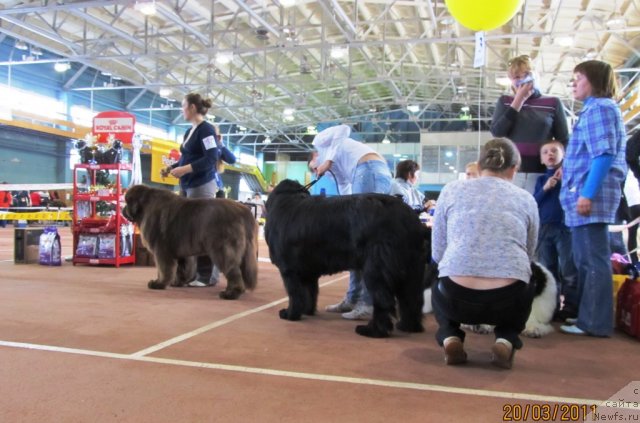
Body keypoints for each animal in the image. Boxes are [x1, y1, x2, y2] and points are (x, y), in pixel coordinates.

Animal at [264, 179, 430, 338]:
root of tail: (413, 221)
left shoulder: (289, 270)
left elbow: (295, 294)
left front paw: (290, 314)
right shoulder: (308, 271)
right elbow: (309, 292)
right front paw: (306, 311)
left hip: (377, 270)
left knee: (384, 300)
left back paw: (373, 330)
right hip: (413, 270)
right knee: (412, 299)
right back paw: (408, 326)